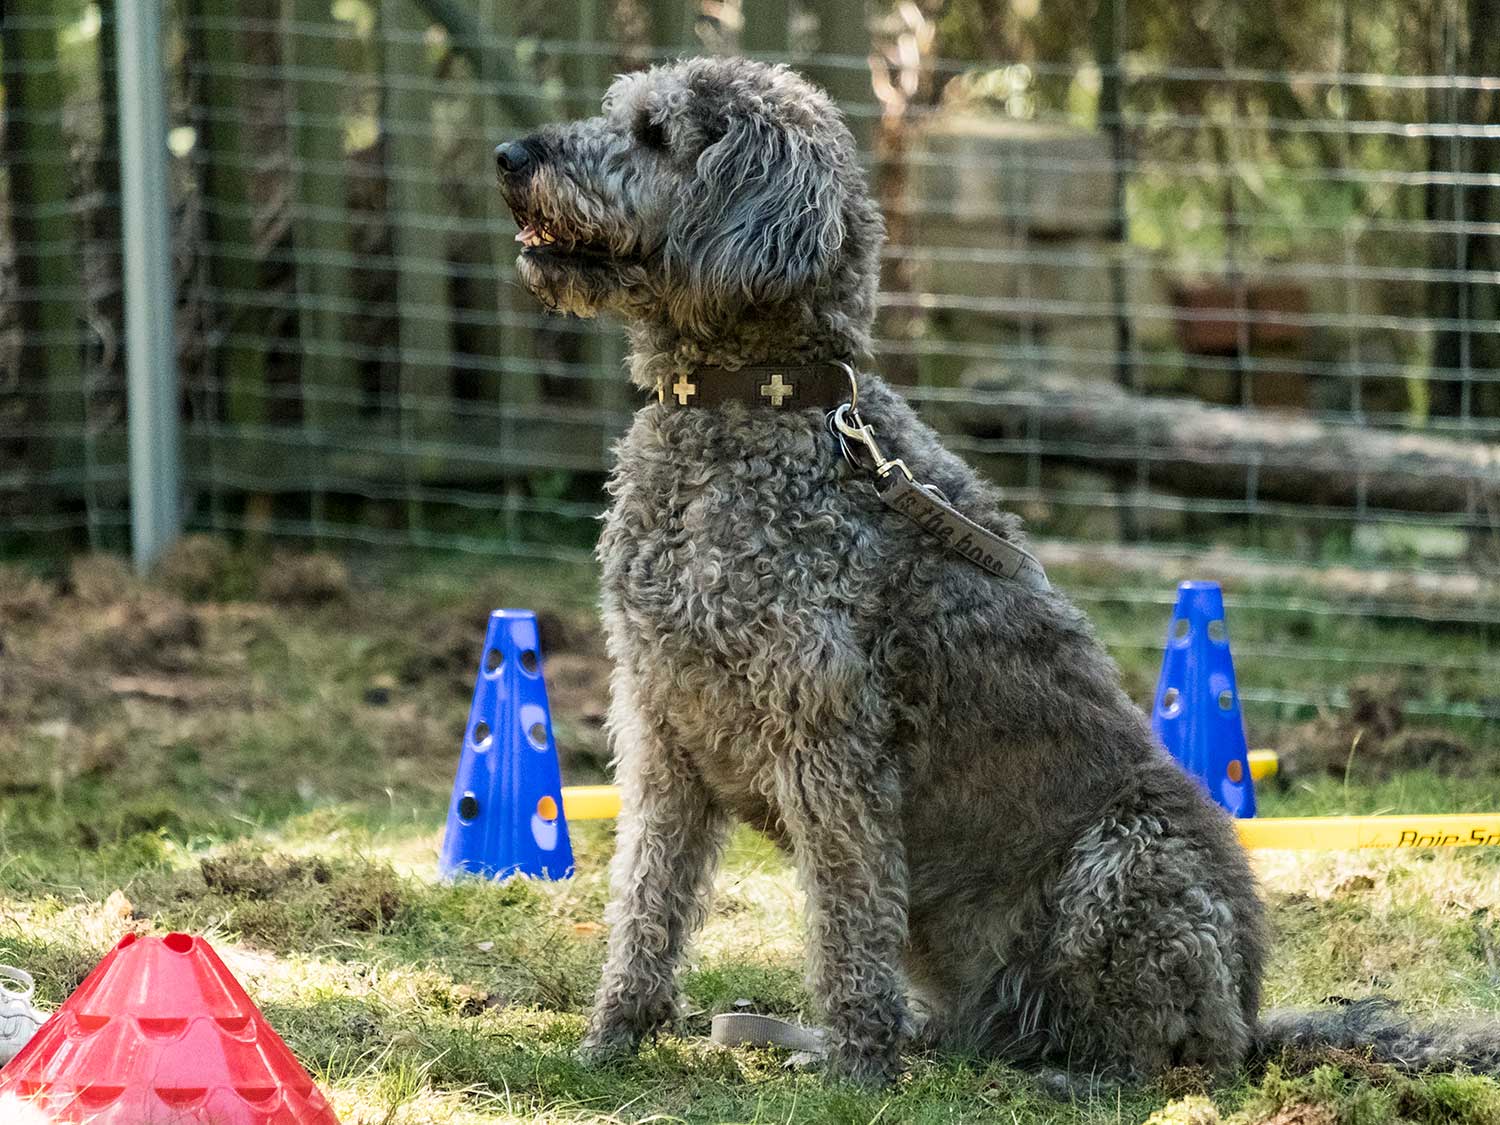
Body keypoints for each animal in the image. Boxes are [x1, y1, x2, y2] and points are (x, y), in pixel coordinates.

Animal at [501, 55, 1500, 1092]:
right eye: (622, 113)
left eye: (655, 134)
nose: (509, 156)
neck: (750, 412)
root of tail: (1257, 1009)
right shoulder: (661, 731)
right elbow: (646, 899)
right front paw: (613, 1037)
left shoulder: (831, 741)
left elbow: (849, 920)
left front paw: (857, 1068)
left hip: (1133, 854)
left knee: (1182, 1054)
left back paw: (1072, 1074)